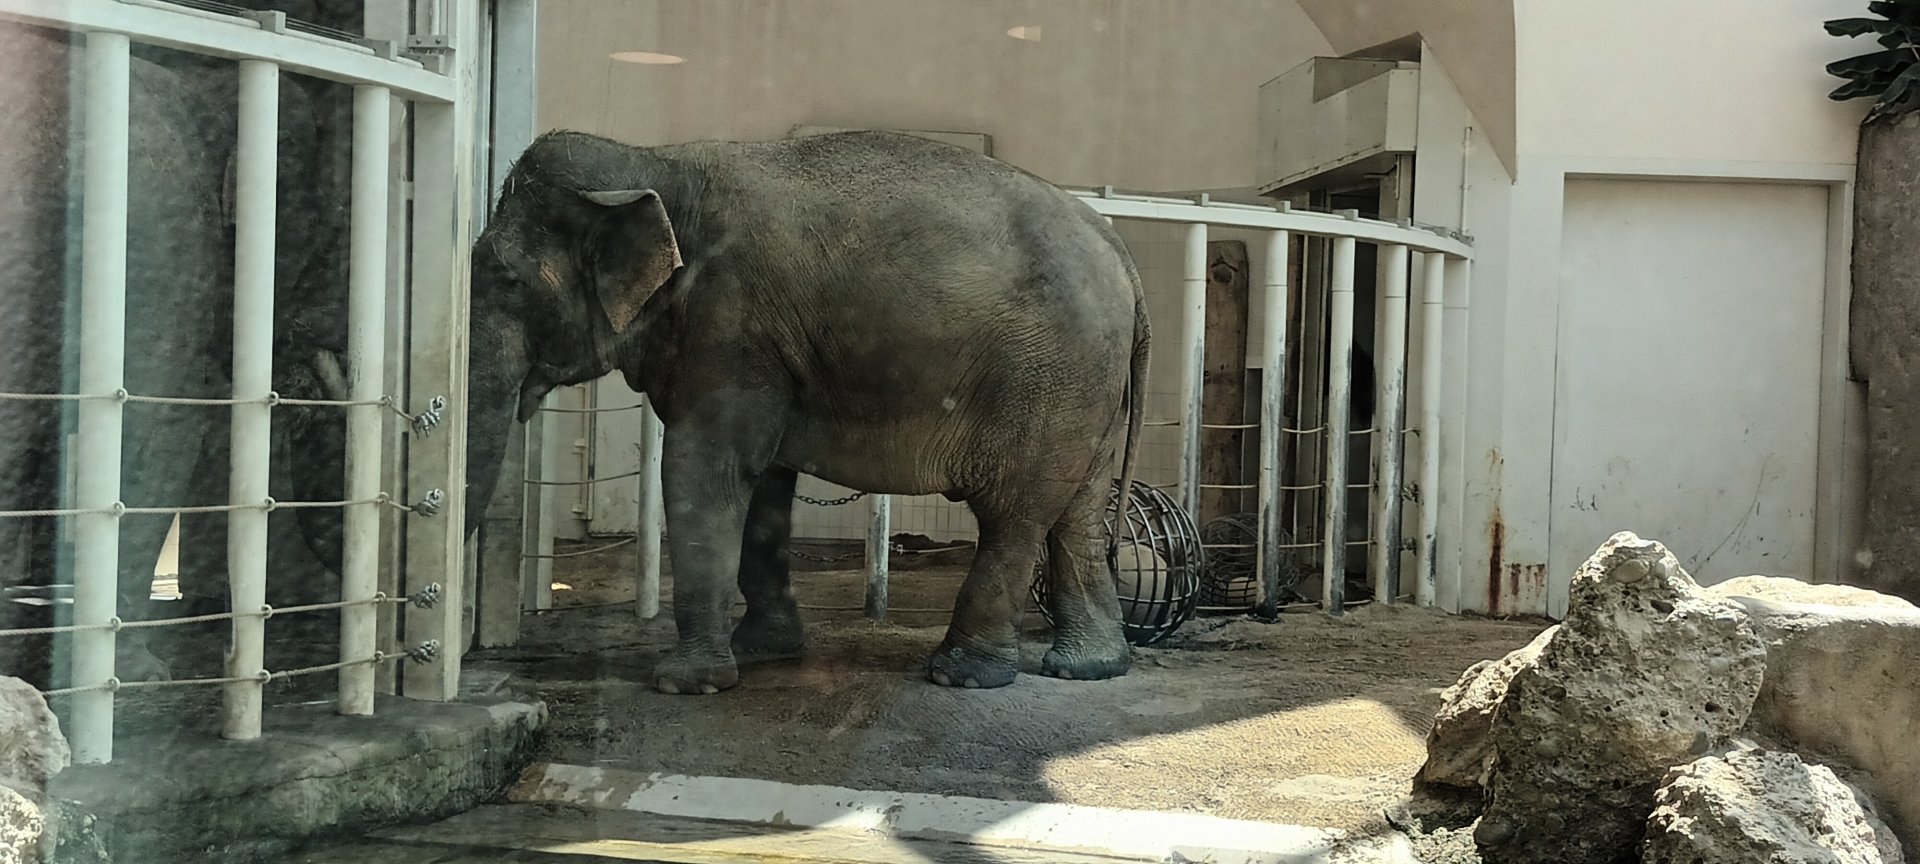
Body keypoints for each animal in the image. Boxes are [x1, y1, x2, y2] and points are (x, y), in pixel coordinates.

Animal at [470, 128, 1152, 694]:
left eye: (510, 282)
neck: (653, 162)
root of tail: (1121, 254)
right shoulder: (760, 350)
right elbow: (764, 480)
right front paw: (763, 651)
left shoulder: (730, 327)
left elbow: (702, 471)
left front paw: (688, 684)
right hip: (1087, 388)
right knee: (1077, 514)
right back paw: (1088, 668)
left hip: (1049, 378)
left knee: (1015, 514)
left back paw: (962, 675)